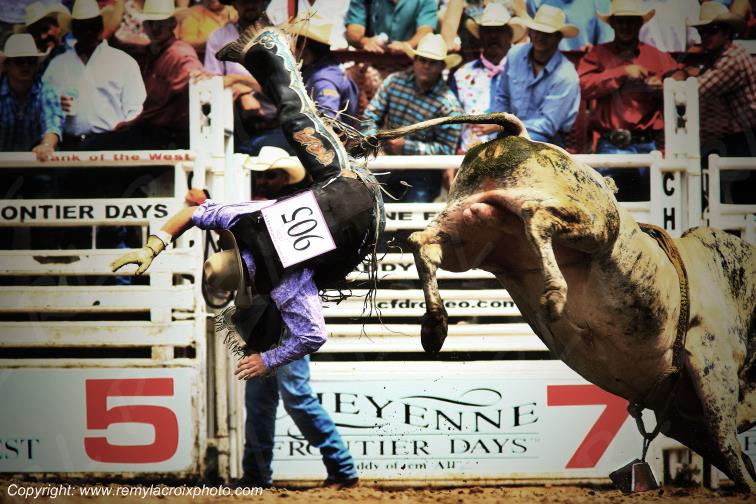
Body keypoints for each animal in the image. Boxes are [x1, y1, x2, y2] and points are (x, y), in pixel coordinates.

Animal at [357, 112, 756, 491]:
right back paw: (553, 295)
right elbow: (728, 446)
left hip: (469, 228)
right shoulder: (711, 365)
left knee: (424, 243)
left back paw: (435, 326)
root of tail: (517, 135)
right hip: (593, 224)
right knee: (537, 218)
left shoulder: (685, 419)